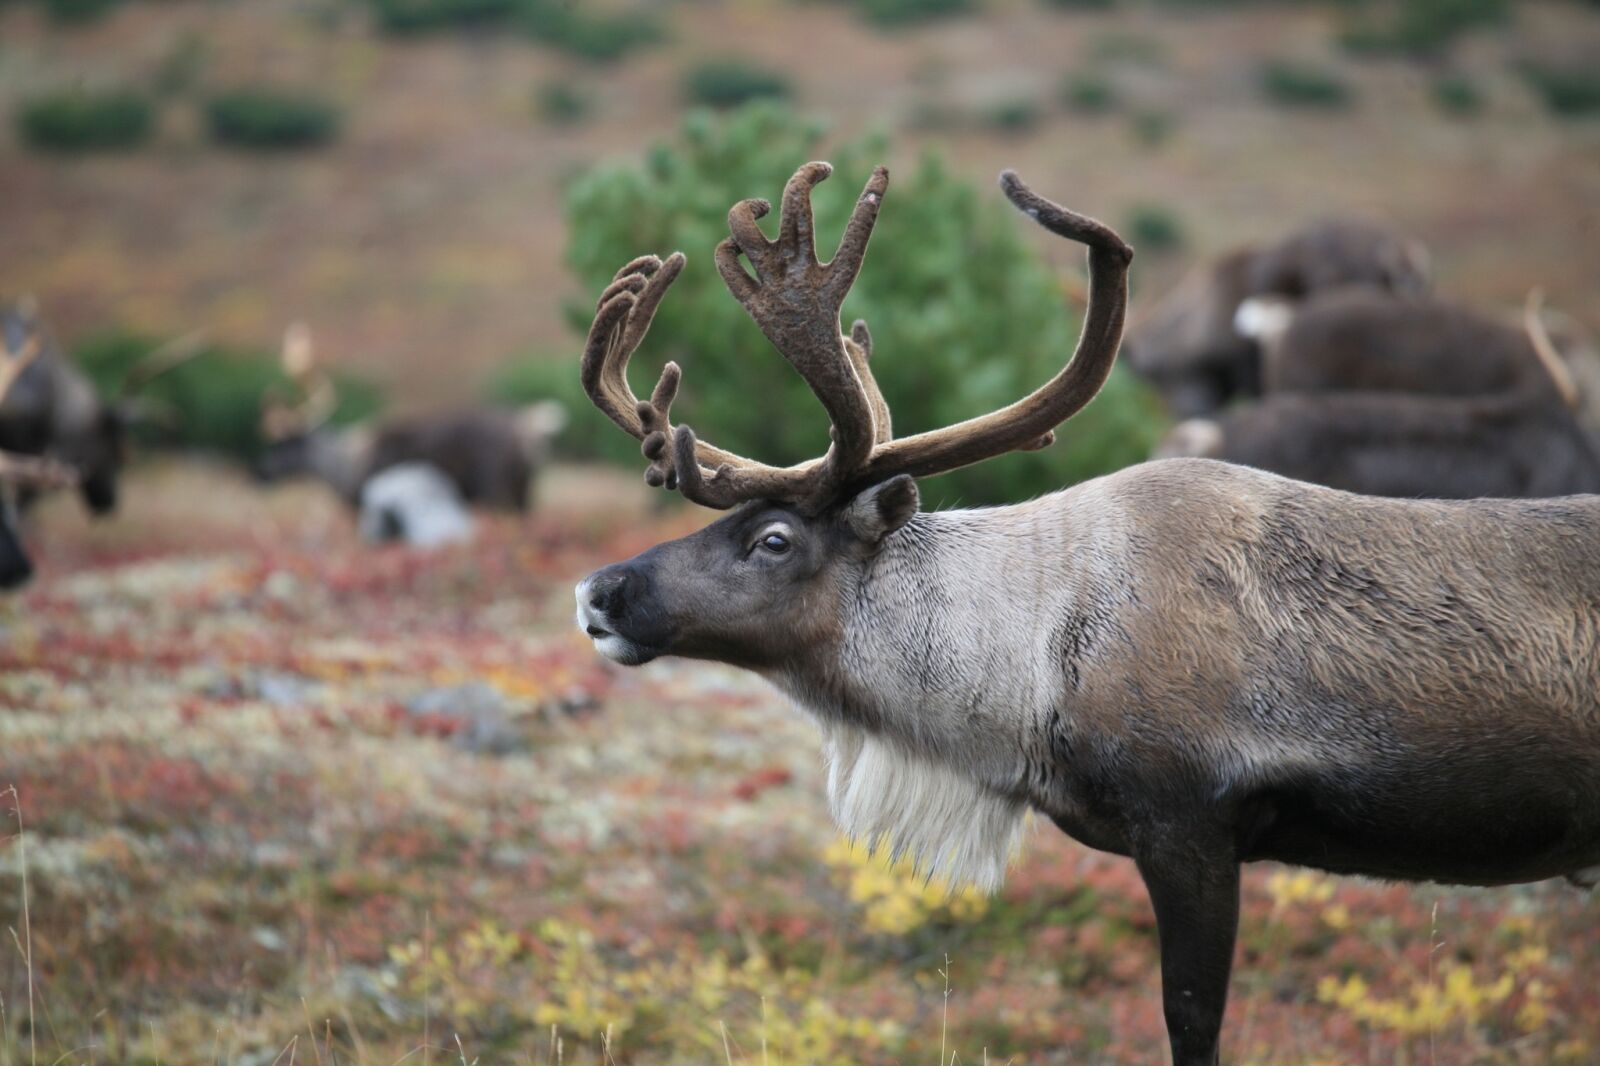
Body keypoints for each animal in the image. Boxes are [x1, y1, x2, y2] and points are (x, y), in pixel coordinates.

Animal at [255, 324, 567, 513]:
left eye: (282, 444)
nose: (260, 473)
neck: (341, 466)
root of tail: (531, 424)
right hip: (524, 491)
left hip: (495, 490)